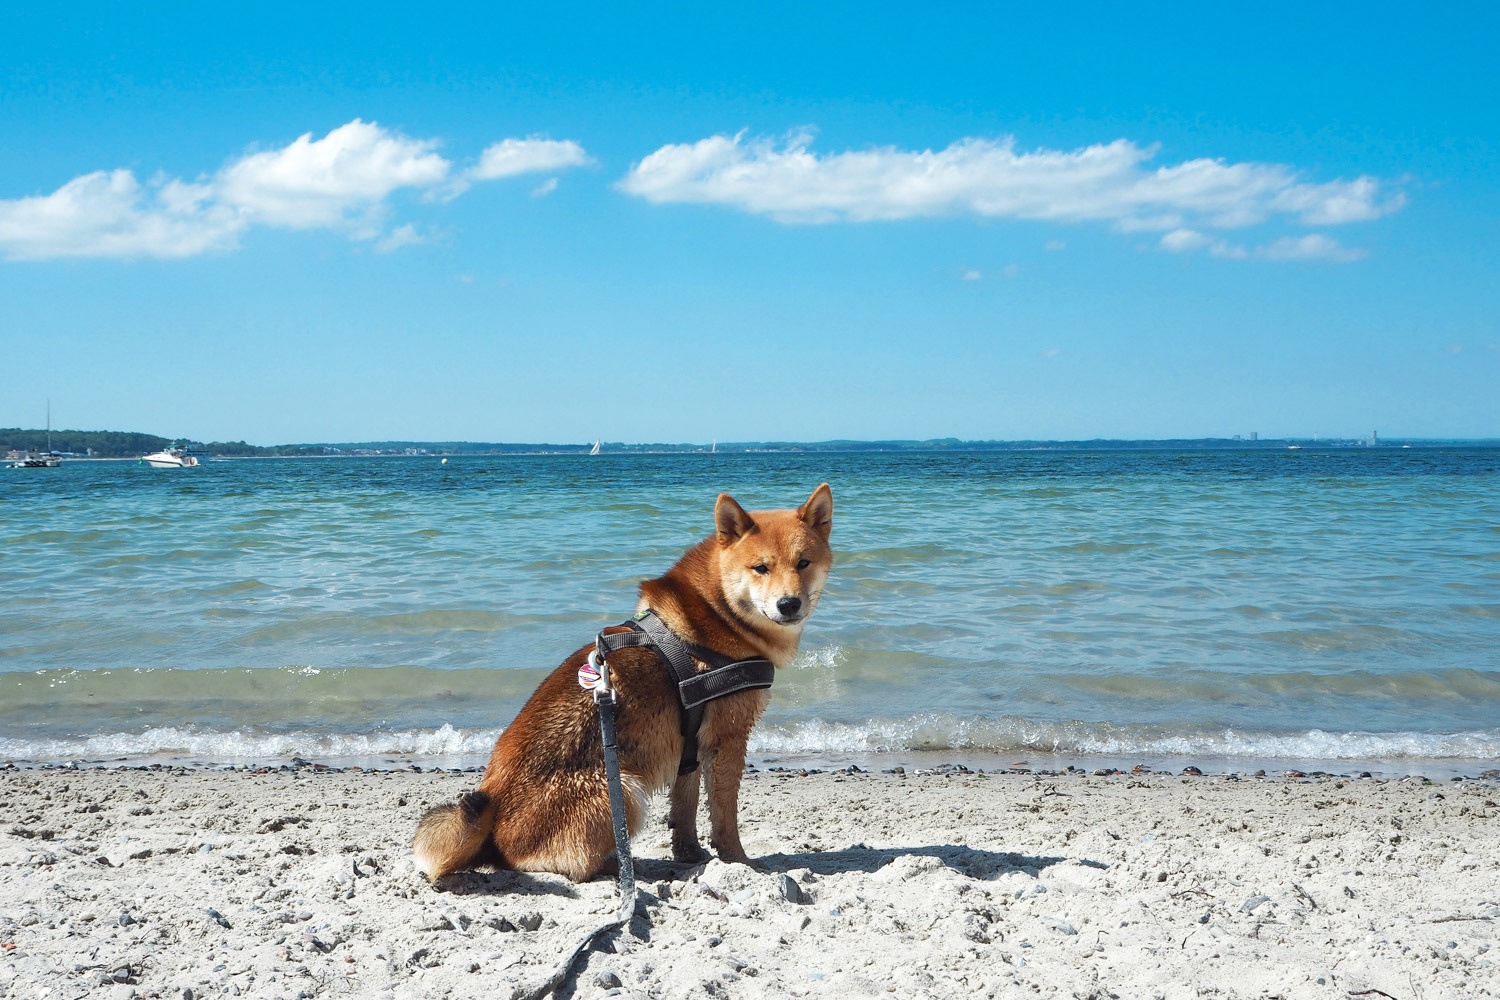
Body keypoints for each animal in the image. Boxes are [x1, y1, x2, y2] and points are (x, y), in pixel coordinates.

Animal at [411, 485, 834, 881]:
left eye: (803, 563)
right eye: (761, 568)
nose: (789, 604)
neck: (718, 613)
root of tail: (492, 826)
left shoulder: (691, 745)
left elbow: (685, 810)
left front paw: (690, 855)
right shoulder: (727, 739)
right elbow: (724, 816)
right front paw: (740, 862)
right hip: (624, 792)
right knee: (558, 863)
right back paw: (620, 865)